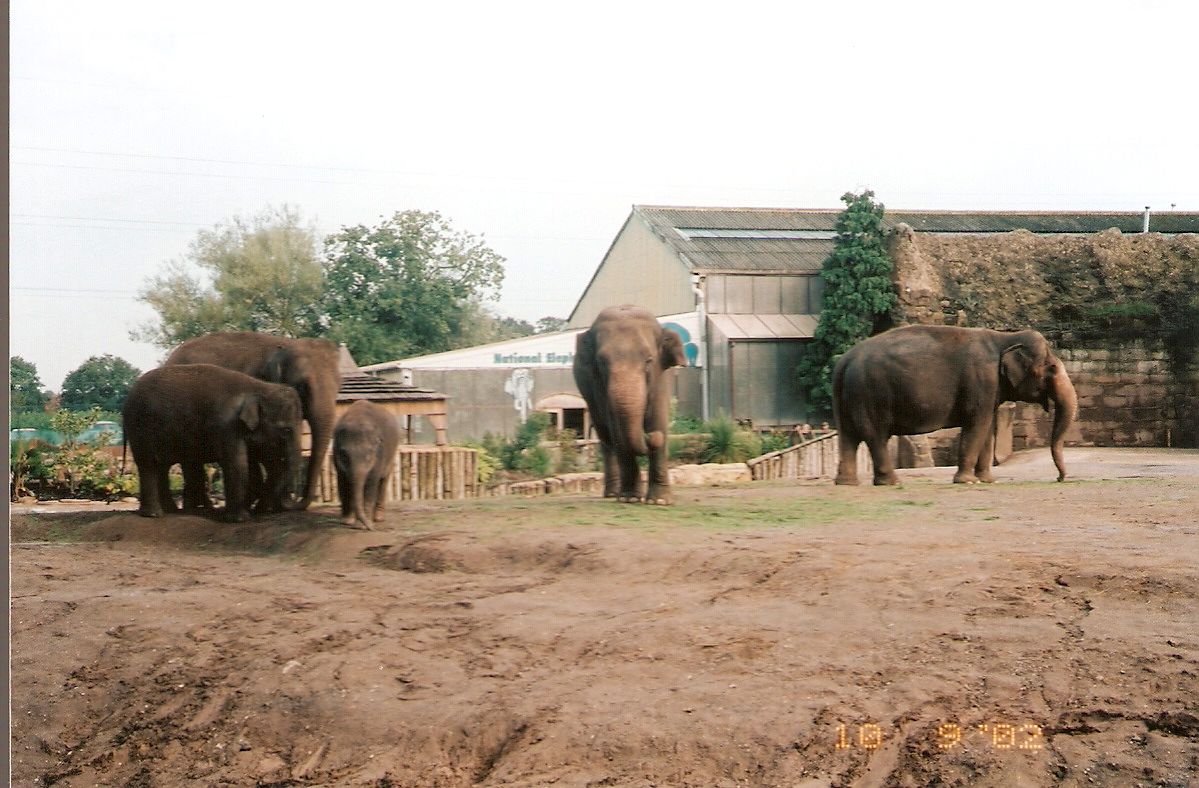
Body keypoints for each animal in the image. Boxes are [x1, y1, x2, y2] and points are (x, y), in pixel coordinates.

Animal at [123, 364, 304, 521]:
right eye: (286, 430)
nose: (260, 511)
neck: (260, 387)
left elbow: (252, 465)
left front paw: (247, 511)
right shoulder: (226, 426)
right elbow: (237, 464)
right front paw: (239, 519)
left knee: (161, 466)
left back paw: (170, 511)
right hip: (139, 428)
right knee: (149, 465)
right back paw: (154, 514)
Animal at [165, 332, 341, 510]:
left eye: (339, 386)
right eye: (302, 387)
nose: (293, 500)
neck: (284, 344)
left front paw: (268, 505)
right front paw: (263, 503)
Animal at [333, 400, 401, 530]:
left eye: (369, 454)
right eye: (344, 454)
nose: (371, 528)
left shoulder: (379, 455)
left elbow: (370, 485)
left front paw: (363, 524)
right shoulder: (336, 456)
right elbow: (343, 483)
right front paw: (347, 521)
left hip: (392, 453)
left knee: (383, 481)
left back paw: (378, 518)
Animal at [573, 305, 687, 504]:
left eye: (649, 360)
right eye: (601, 362)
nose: (650, 436)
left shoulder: (661, 379)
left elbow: (658, 420)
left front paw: (659, 502)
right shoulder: (599, 389)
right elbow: (617, 432)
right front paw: (630, 499)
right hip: (589, 398)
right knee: (606, 439)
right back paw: (612, 494)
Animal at [832, 325, 1079, 485]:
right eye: (1052, 368)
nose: (1060, 478)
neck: (1004, 338)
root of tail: (844, 362)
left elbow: (987, 430)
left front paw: (987, 480)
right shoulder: (981, 381)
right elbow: (977, 426)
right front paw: (967, 481)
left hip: (848, 398)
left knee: (848, 436)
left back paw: (847, 483)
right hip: (870, 394)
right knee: (875, 435)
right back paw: (891, 482)